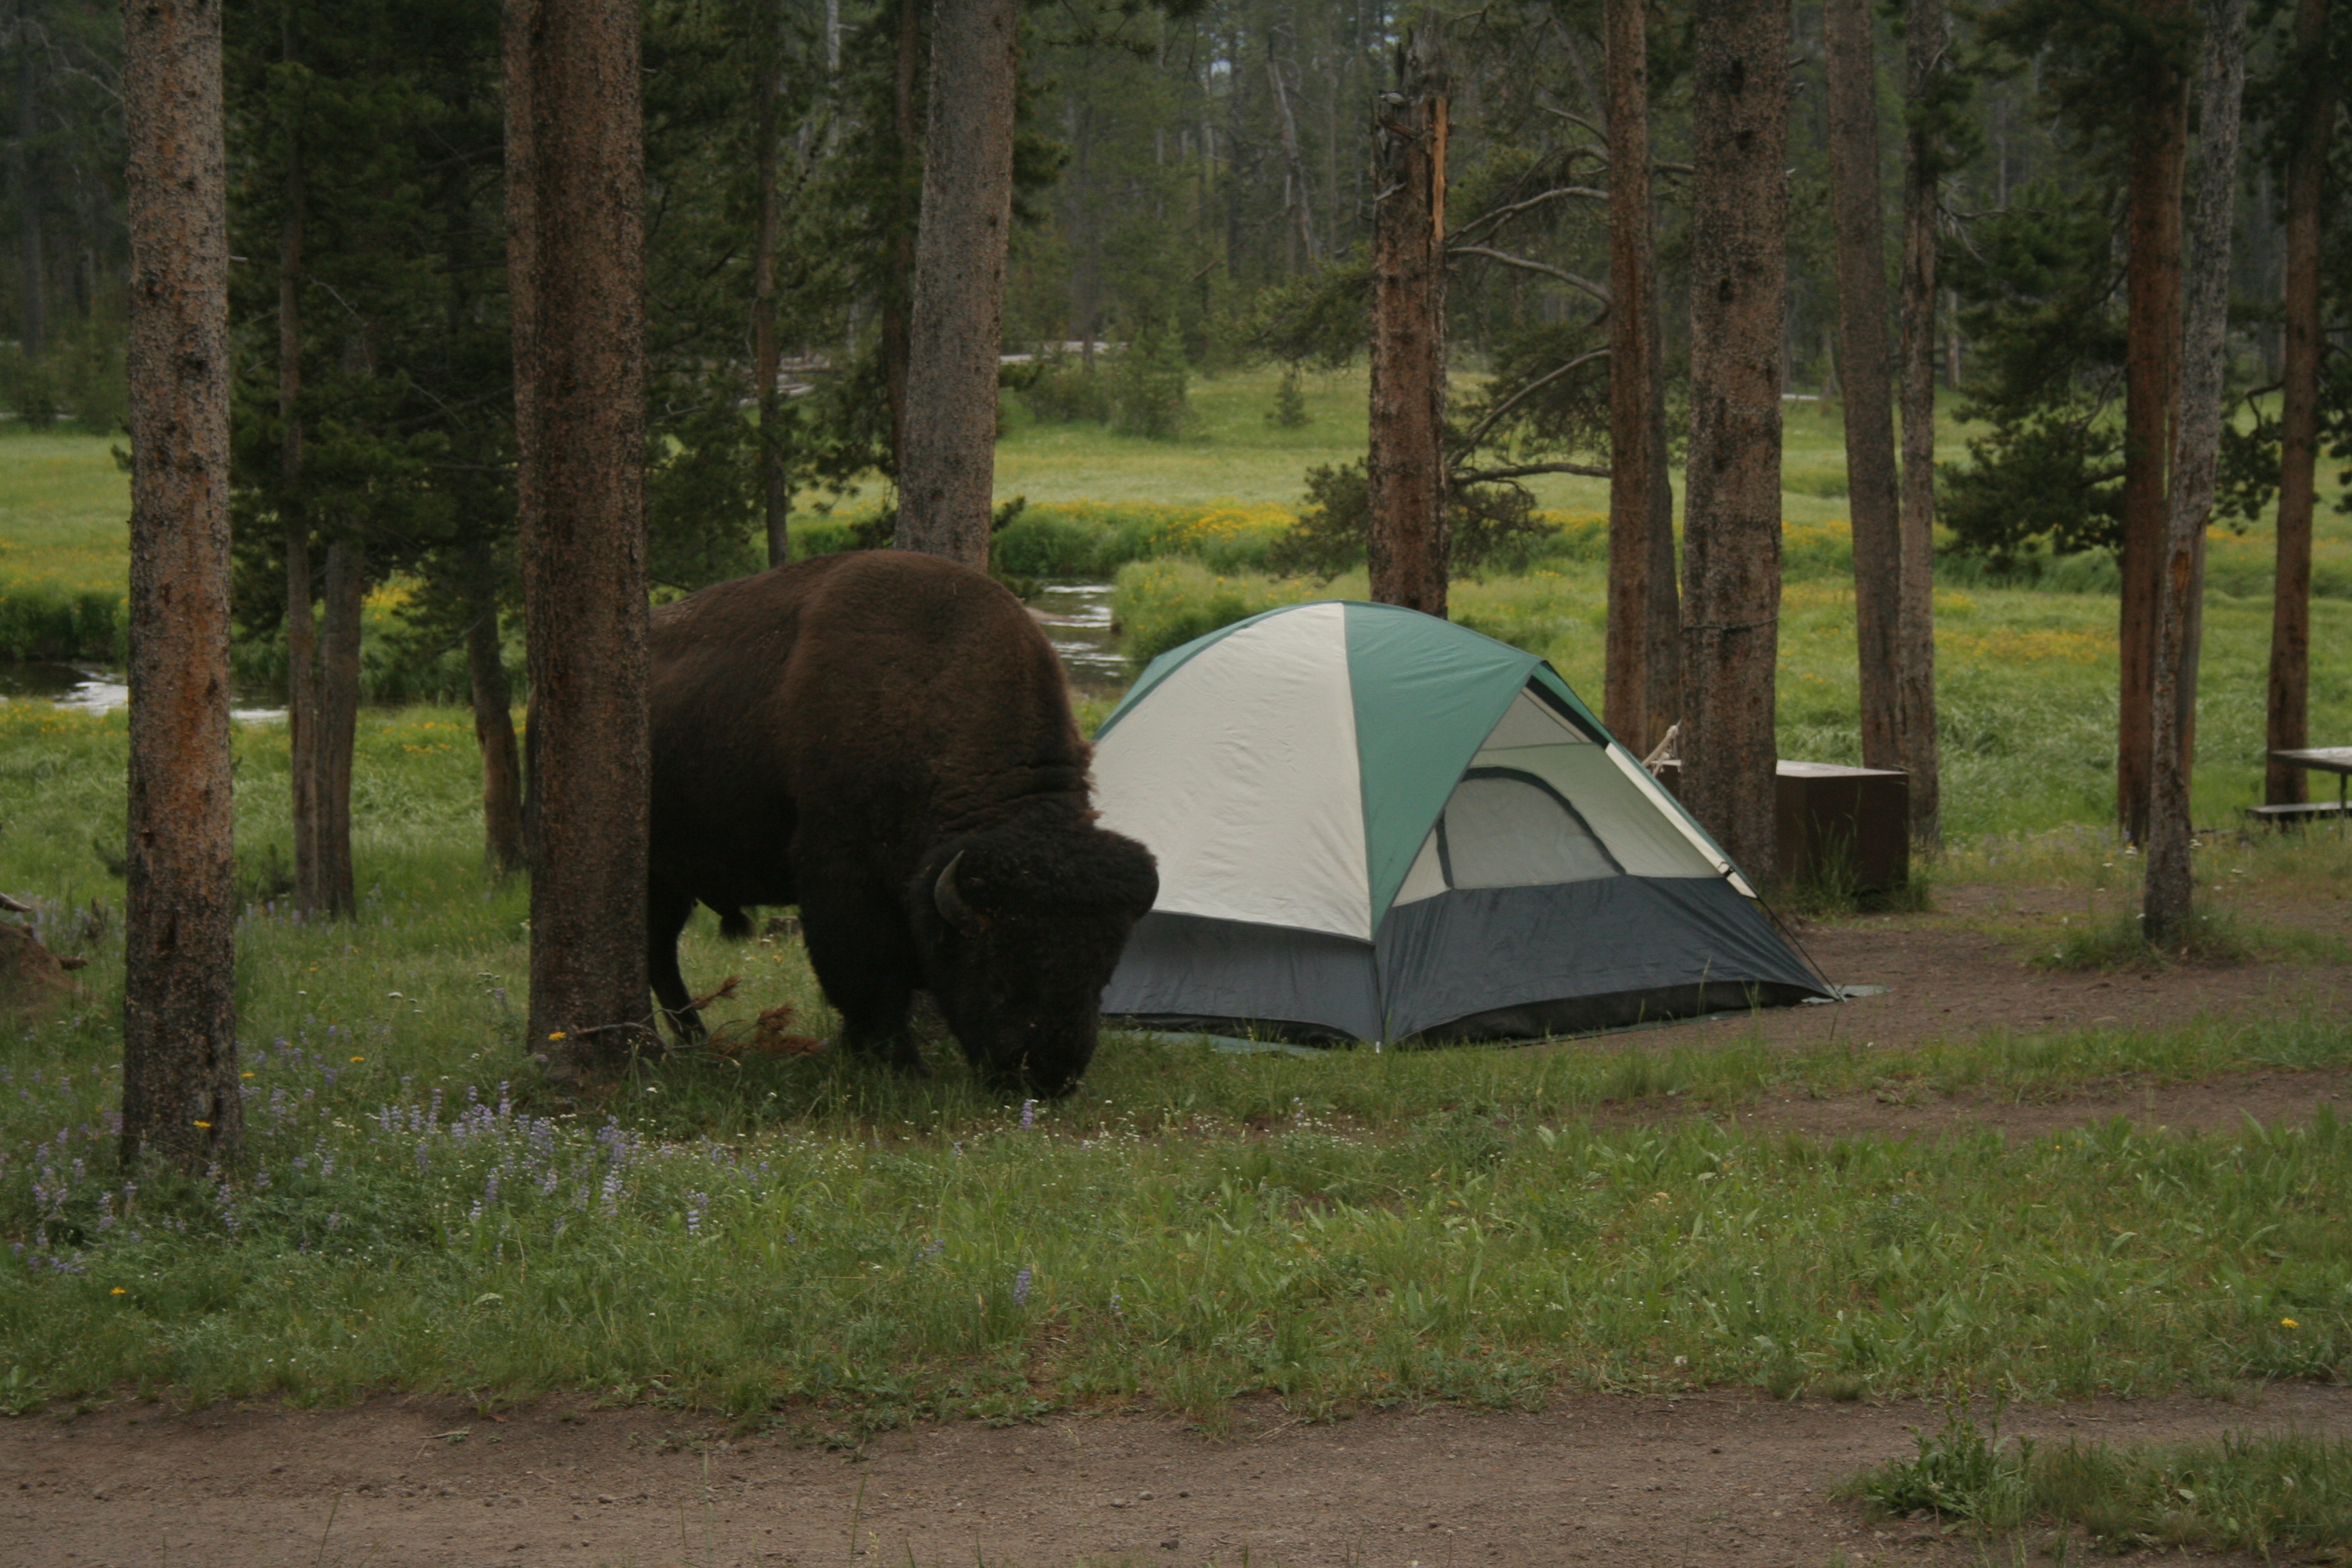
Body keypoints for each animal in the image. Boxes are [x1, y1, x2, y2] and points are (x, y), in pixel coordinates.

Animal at [644, 557, 1157, 1100]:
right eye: (999, 973)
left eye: (1103, 974)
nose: (1048, 1076)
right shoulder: (843, 876)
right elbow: (870, 974)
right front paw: (903, 1065)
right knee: (659, 953)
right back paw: (692, 1041)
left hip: (673, 882)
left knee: (659, 951)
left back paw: (694, 1040)